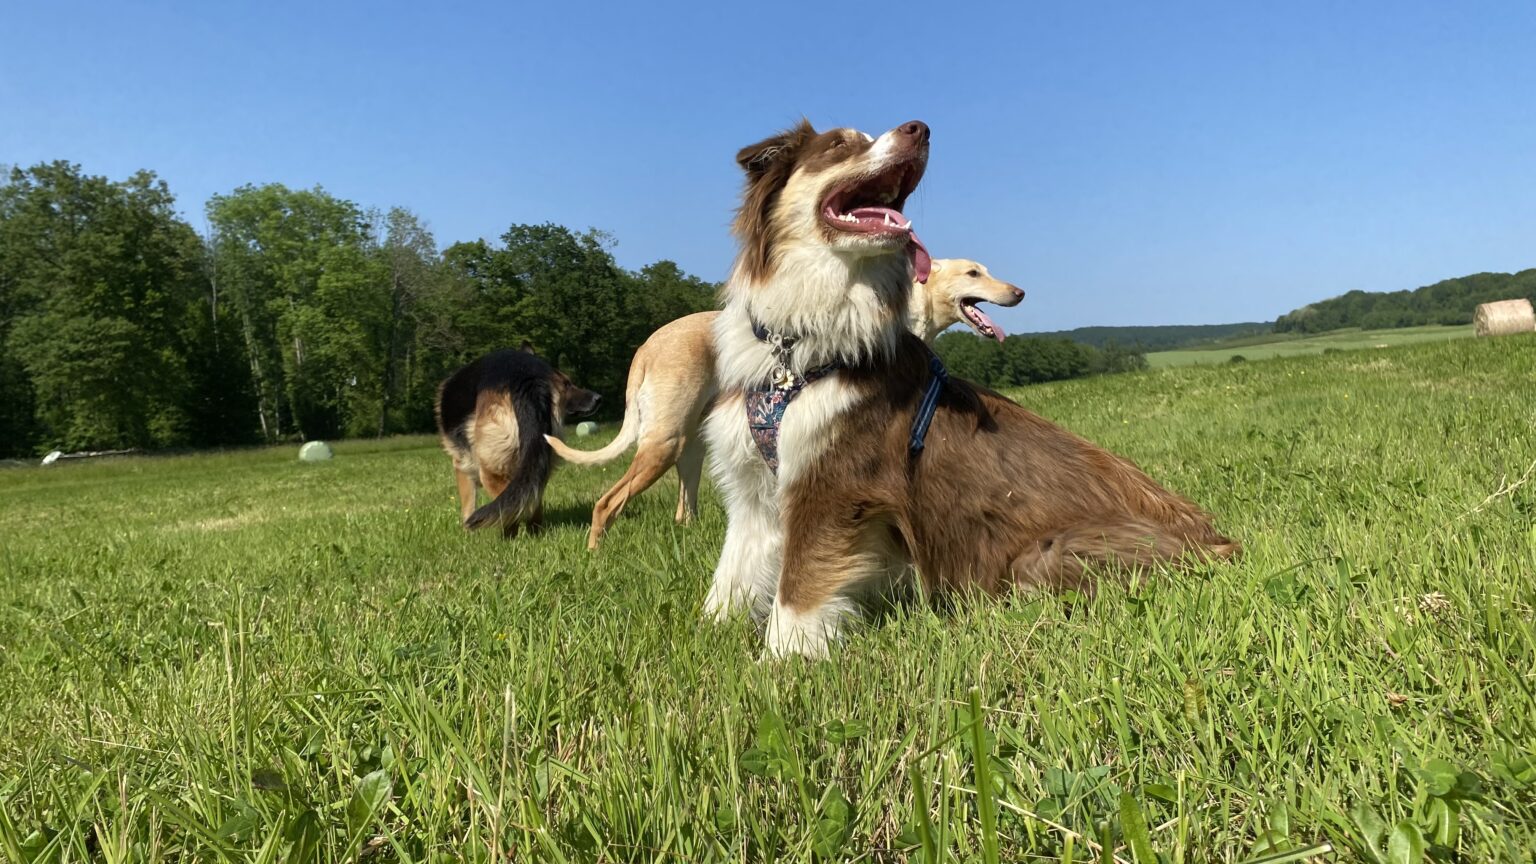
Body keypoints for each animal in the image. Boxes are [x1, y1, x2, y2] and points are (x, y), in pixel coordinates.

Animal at [546, 258, 1026, 547]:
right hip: (663, 444)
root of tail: (646, 346)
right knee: (606, 503)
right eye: (973, 273)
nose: (1019, 293)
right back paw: (595, 553)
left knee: (684, 511)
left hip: (690, 449)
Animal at [703, 117, 1241, 654]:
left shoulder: (835, 481)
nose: (919, 128)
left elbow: (798, 588)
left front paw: (783, 660)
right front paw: (711, 633)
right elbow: (733, 573)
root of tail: (1217, 540)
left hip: (1045, 555)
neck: (795, 346)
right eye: (839, 144)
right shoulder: (752, 483)